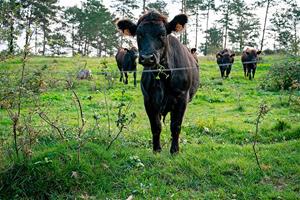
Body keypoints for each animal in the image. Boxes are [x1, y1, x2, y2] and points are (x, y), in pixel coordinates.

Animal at [117, 10, 199, 155]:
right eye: (139, 34)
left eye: (162, 34)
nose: (147, 58)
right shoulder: (149, 100)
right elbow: (156, 126)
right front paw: (156, 149)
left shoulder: (182, 98)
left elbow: (176, 126)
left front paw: (174, 150)